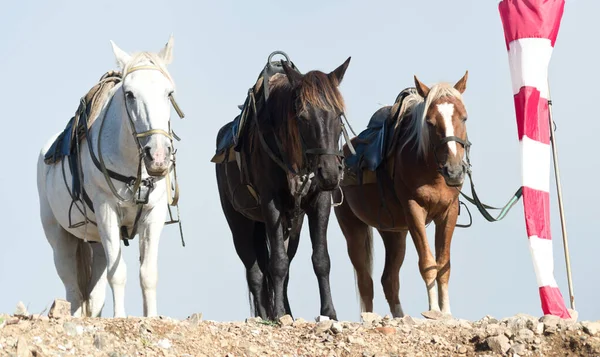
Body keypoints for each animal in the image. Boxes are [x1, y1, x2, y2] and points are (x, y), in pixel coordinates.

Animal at [34, 36, 180, 318]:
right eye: (130, 94)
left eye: (169, 93)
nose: (157, 156)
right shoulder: (107, 210)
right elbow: (119, 274)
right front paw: (120, 317)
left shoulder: (153, 214)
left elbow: (148, 273)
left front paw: (151, 317)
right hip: (61, 238)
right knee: (73, 289)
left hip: (96, 241)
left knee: (94, 293)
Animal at [214, 57, 350, 318]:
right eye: (302, 116)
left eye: (339, 114)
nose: (329, 173)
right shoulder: (271, 203)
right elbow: (277, 263)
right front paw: (276, 314)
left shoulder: (320, 202)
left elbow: (321, 259)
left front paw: (328, 312)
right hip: (239, 223)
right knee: (255, 271)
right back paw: (264, 315)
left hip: (290, 225)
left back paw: (287, 312)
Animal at [336, 73, 472, 320]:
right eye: (430, 122)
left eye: (464, 118)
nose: (455, 171)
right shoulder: (414, 210)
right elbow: (428, 262)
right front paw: (433, 311)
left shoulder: (449, 212)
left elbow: (443, 264)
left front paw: (446, 313)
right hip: (352, 227)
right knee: (365, 280)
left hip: (393, 233)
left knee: (389, 279)